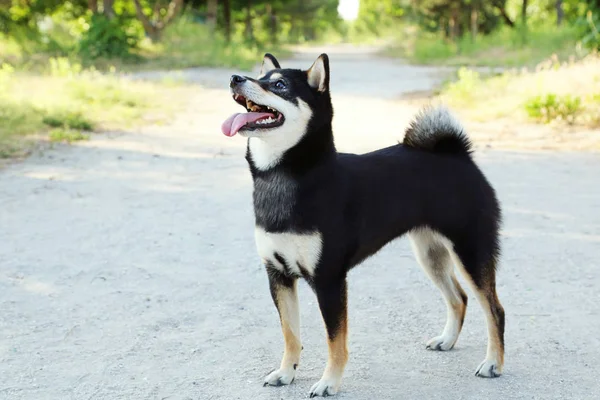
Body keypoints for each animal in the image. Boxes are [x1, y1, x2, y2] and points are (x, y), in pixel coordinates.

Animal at [223, 53, 504, 396]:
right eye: (261, 77)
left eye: (279, 85)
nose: (236, 78)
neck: (285, 177)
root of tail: (457, 154)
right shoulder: (278, 275)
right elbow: (291, 334)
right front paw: (286, 372)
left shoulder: (329, 279)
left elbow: (335, 341)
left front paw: (328, 382)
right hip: (431, 256)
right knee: (459, 298)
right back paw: (447, 340)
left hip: (470, 252)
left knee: (494, 310)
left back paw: (493, 364)